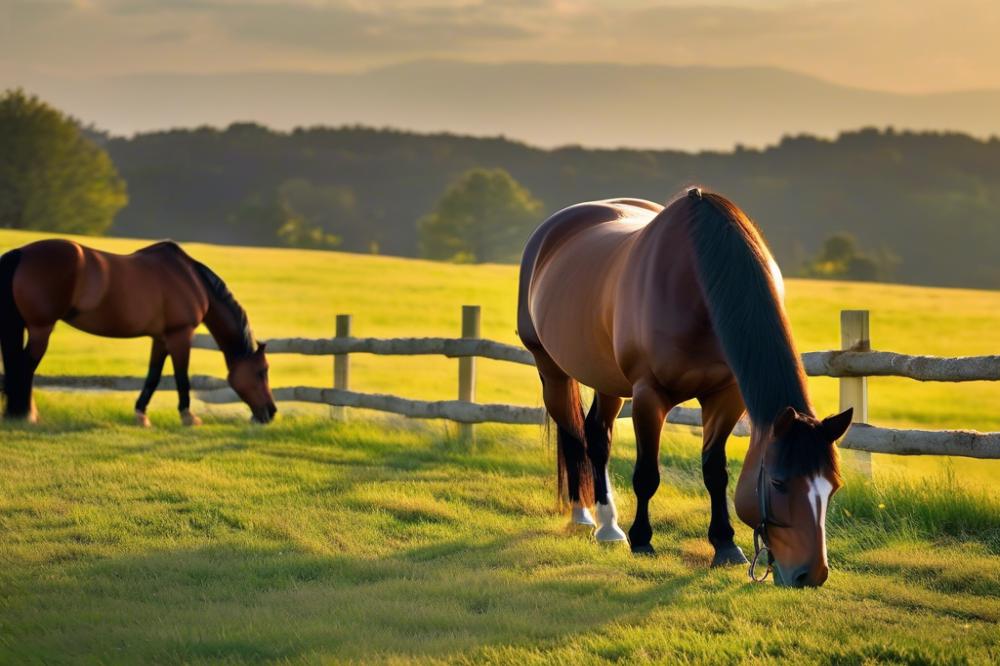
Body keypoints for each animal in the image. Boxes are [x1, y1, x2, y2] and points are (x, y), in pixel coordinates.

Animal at [0, 240, 278, 426]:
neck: (191, 278)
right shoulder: (180, 334)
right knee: (24, 368)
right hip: (41, 329)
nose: (271, 412)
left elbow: (153, 376)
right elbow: (182, 376)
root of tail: (22, 253)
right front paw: (188, 417)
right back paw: (26, 415)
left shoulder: (161, 338)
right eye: (261, 371)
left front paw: (141, 415)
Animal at [520, 188, 856, 588]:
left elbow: (715, 472)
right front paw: (642, 541)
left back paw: (608, 526)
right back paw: (586, 518)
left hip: (608, 381)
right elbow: (647, 474)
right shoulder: (649, 395)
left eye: (833, 485)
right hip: (552, 370)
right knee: (573, 435)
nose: (811, 575)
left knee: (597, 436)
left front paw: (725, 546)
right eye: (777, 483)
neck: (695, 283)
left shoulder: (726, 396)